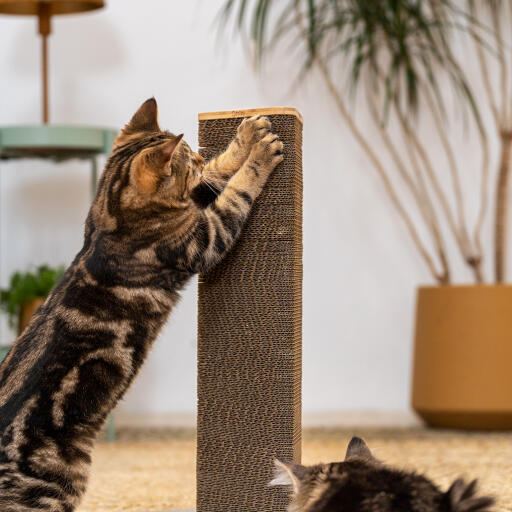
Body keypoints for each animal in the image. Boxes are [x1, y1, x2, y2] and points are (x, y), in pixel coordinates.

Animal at [0, 97, 284, 512]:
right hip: (51, 489)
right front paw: (257, 154)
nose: (199, 156)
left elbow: (218, 174)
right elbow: (235, 193)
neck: (109, 218)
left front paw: (244, 138)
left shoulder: (196, 208)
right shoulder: (203, 238)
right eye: (190, 162)